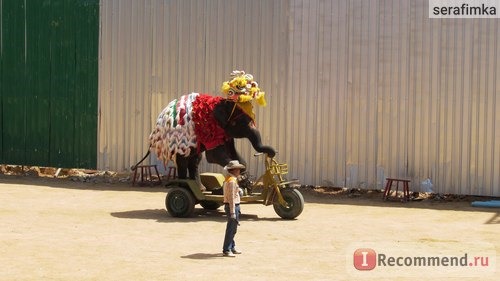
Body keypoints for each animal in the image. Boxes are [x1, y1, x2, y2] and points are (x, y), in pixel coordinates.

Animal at [138, 70, 278, 188]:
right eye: (238, 123)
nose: (273, 153)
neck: (222, 103)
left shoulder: (224, 132)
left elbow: (232, 151)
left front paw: (243, 175)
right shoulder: (210, 129)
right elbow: (213, 155)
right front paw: (237, 172)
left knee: (195, 160)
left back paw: (200, 188)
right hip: (178, 144)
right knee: (183, 161)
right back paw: (182, 186)